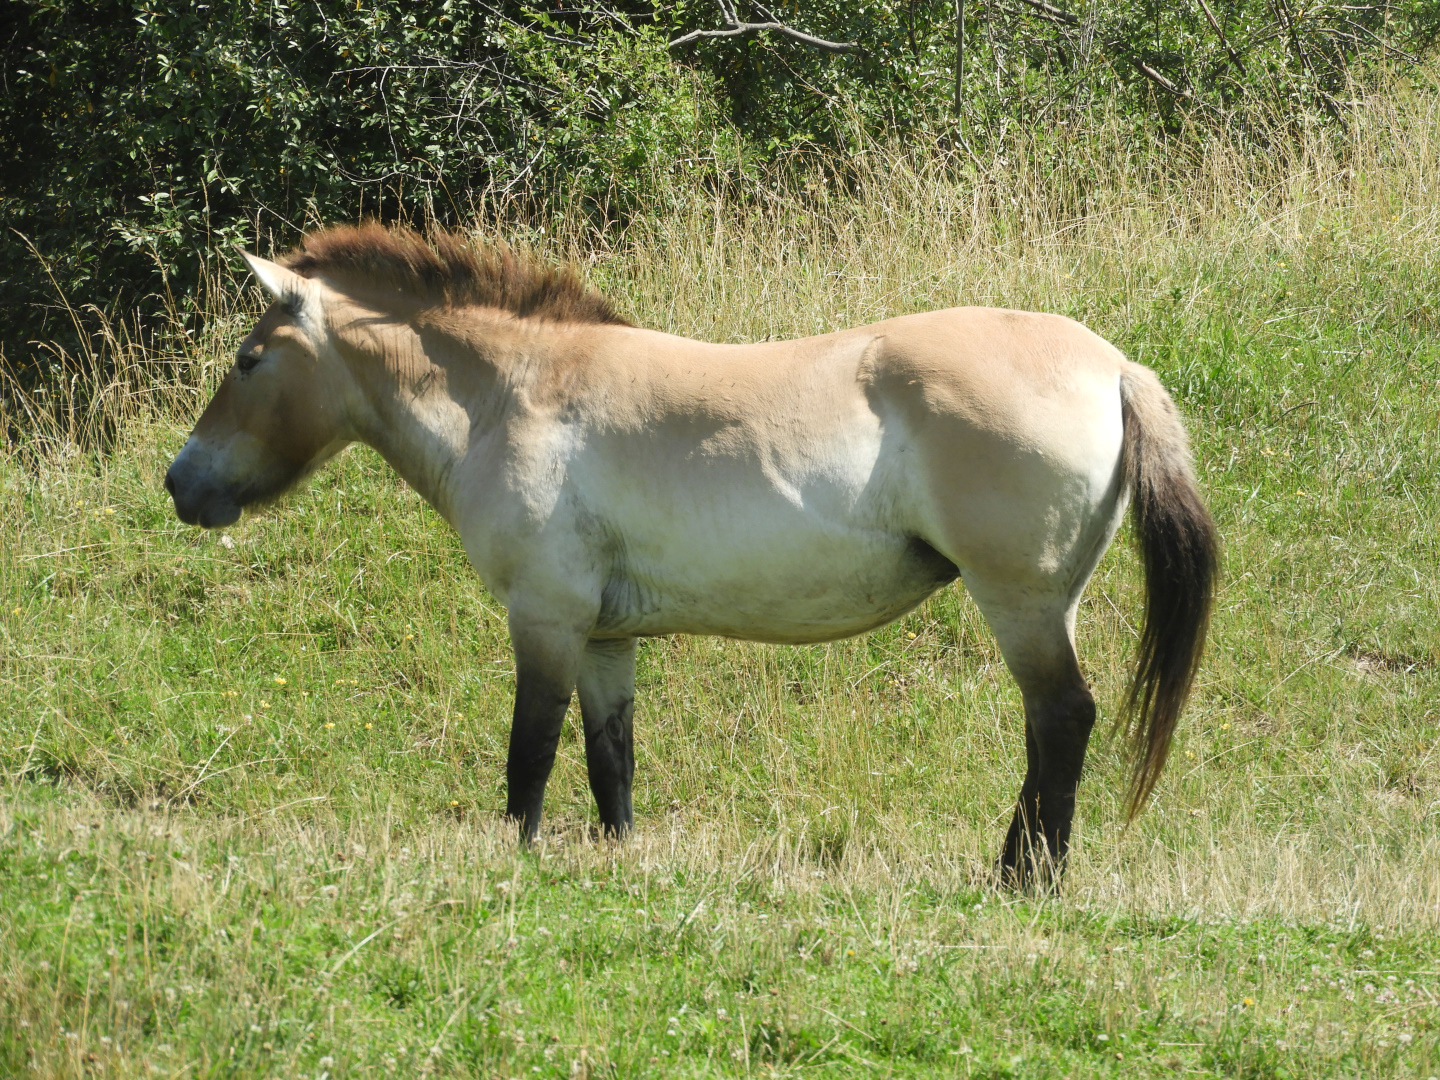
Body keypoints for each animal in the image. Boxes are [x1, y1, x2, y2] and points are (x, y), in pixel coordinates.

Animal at [164, 223, 1217, 887]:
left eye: (248, 361)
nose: (182, 484)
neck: (514, 395)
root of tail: (1113, 367)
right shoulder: (603, 637)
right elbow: (611, 761)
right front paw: (618, 863)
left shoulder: (545, 619)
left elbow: (529, 756)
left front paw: (515, 863)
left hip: (1021, 604)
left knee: (1061, 722)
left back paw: (1023, 879)